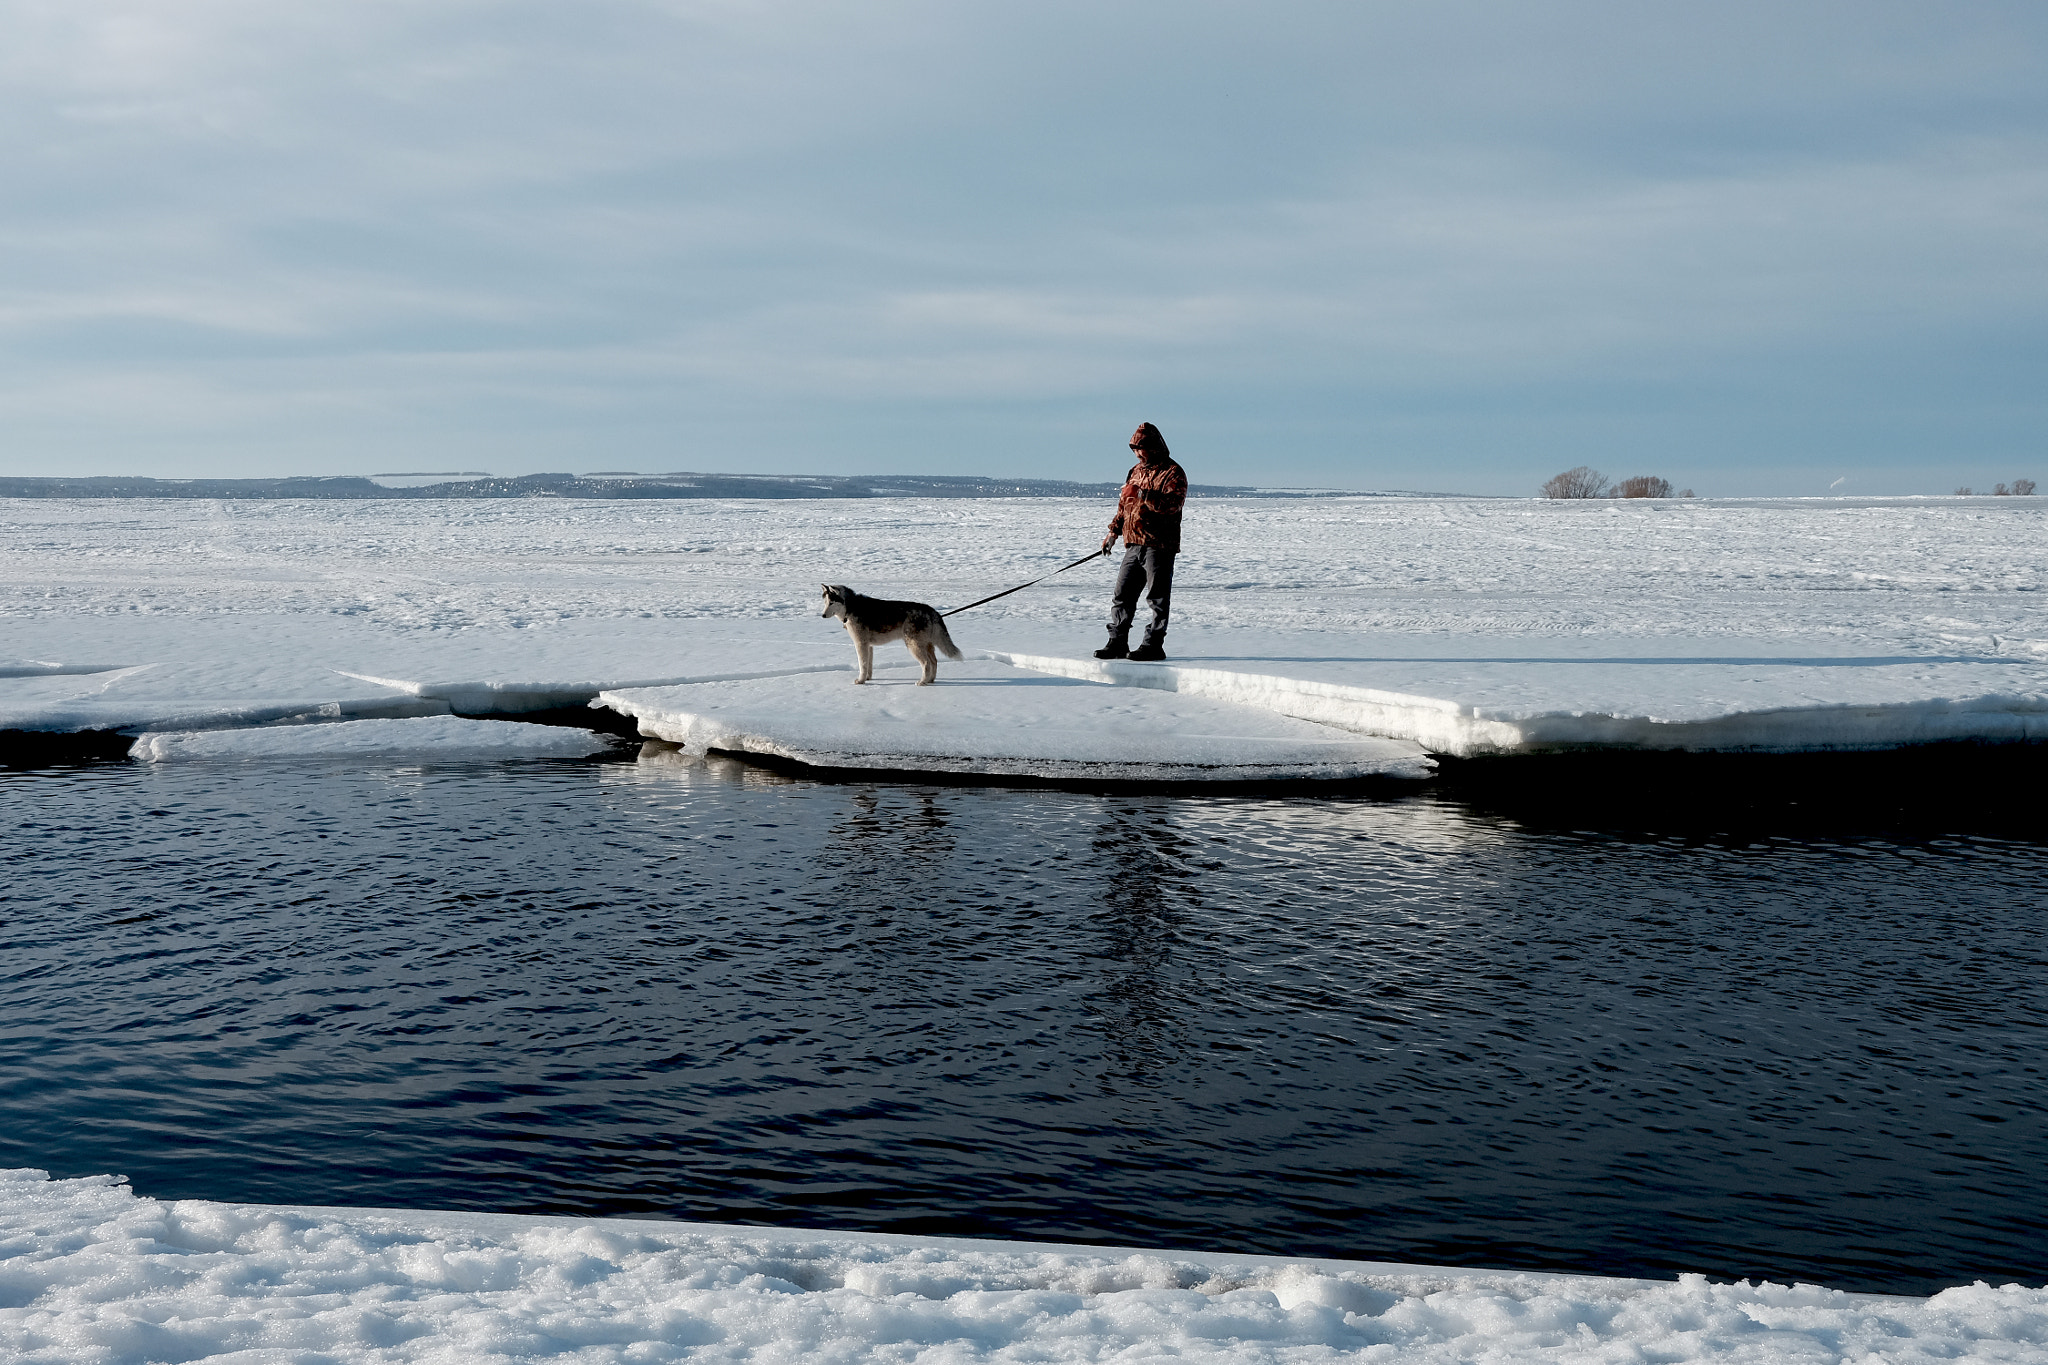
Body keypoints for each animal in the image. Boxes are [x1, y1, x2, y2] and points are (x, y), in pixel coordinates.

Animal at [819, 585, 962, 687]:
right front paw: (867, 679)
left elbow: (862, 665)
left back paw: (922, 682)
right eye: (825, 603)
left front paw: (860, 681)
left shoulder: (860, 644)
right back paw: (930, 680)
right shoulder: (869, 646)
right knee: (934, 661)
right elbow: (868, 665)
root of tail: (932, 610)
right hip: (926, 645)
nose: (823, 615)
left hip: (914, 646)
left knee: (926, 663)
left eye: (831, 603)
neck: (851, 607)